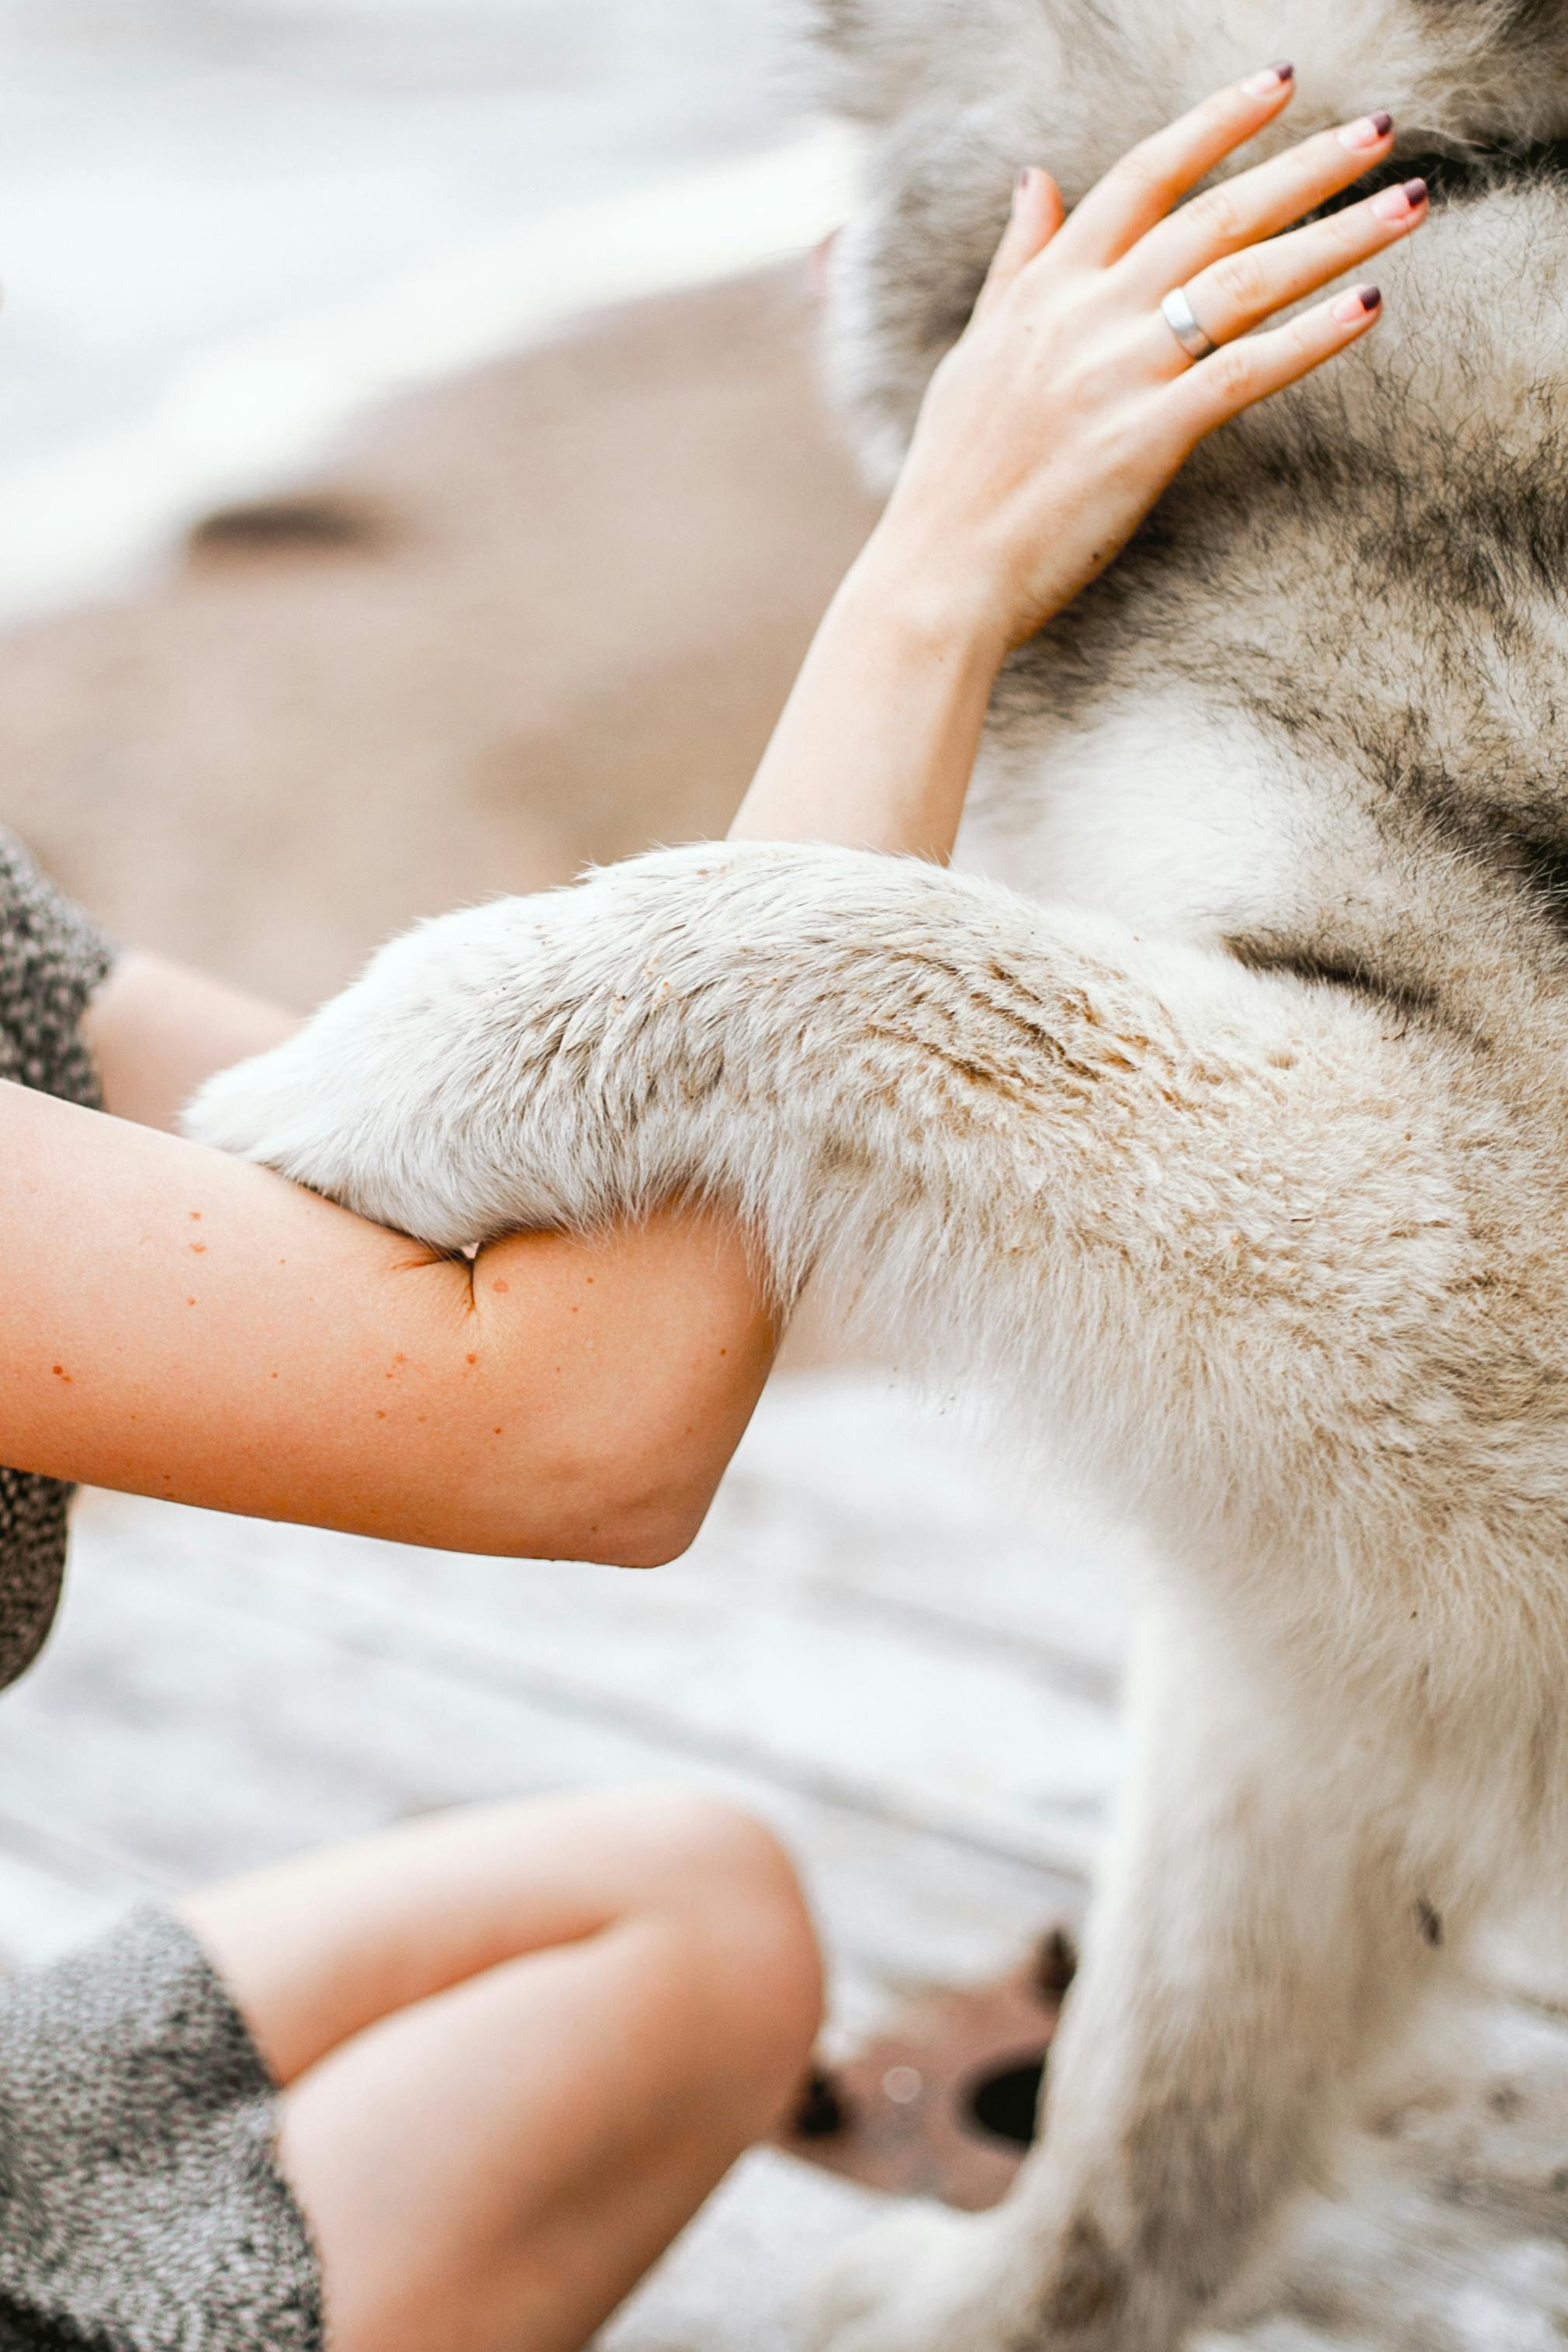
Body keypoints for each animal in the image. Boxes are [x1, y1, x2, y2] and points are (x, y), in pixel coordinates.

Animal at [184, 0, 1568, 2342]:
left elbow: (858, 938)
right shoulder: (1319, 1572)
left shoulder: (1479, 1218)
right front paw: (1004, 2301)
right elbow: (1161, 2062)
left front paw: (399, 1056)